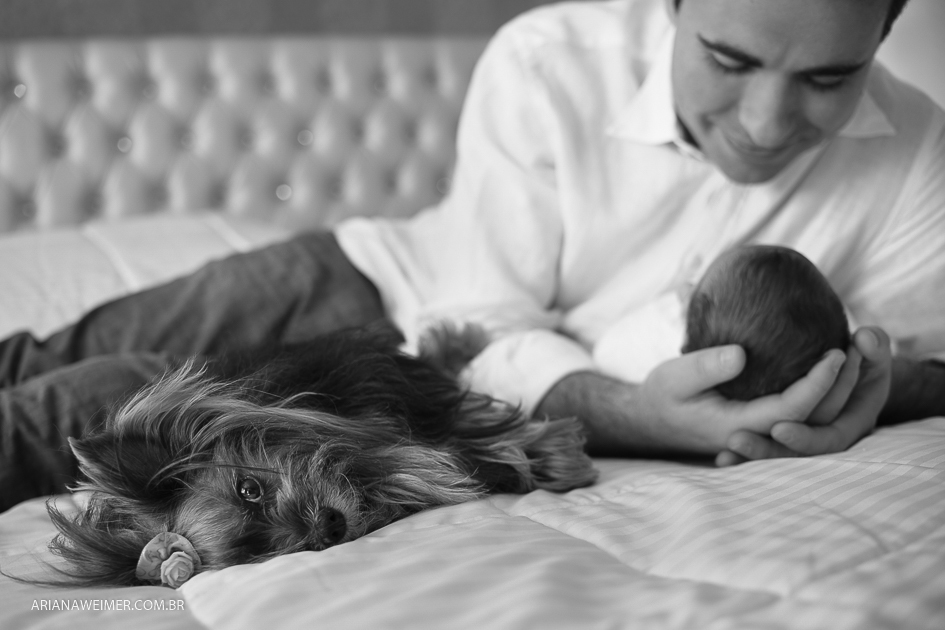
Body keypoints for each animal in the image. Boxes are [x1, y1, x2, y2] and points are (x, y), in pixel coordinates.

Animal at [40, 325, 597, 587]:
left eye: (249, 486)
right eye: (263, 553)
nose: (329, 525)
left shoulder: (397, 393)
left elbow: (477, 435)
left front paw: (554, 456)